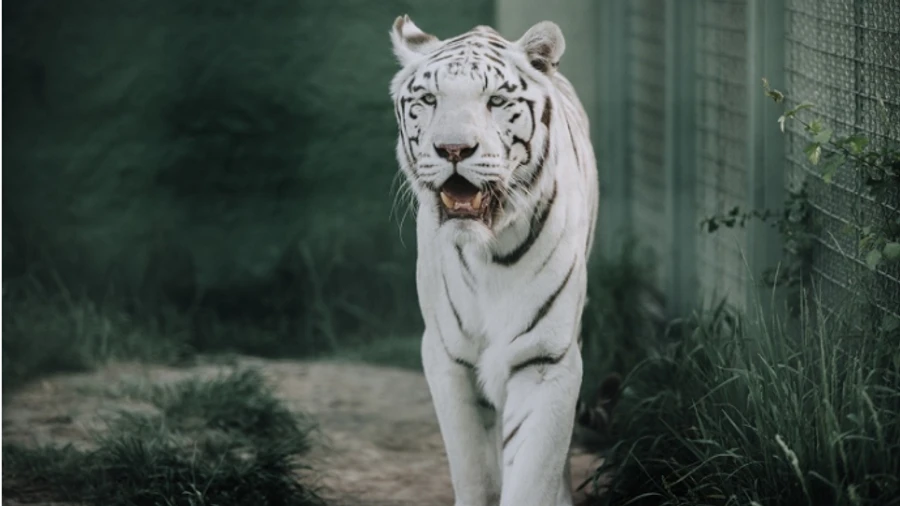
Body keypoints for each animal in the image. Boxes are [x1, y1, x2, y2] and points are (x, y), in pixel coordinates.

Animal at [389, 15, 599, 506]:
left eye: (496, 101)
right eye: (429, 99)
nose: (453, 149)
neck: (489, 253)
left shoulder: (545, 359)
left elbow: (532, 471)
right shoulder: (448, 358)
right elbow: (474, 470)